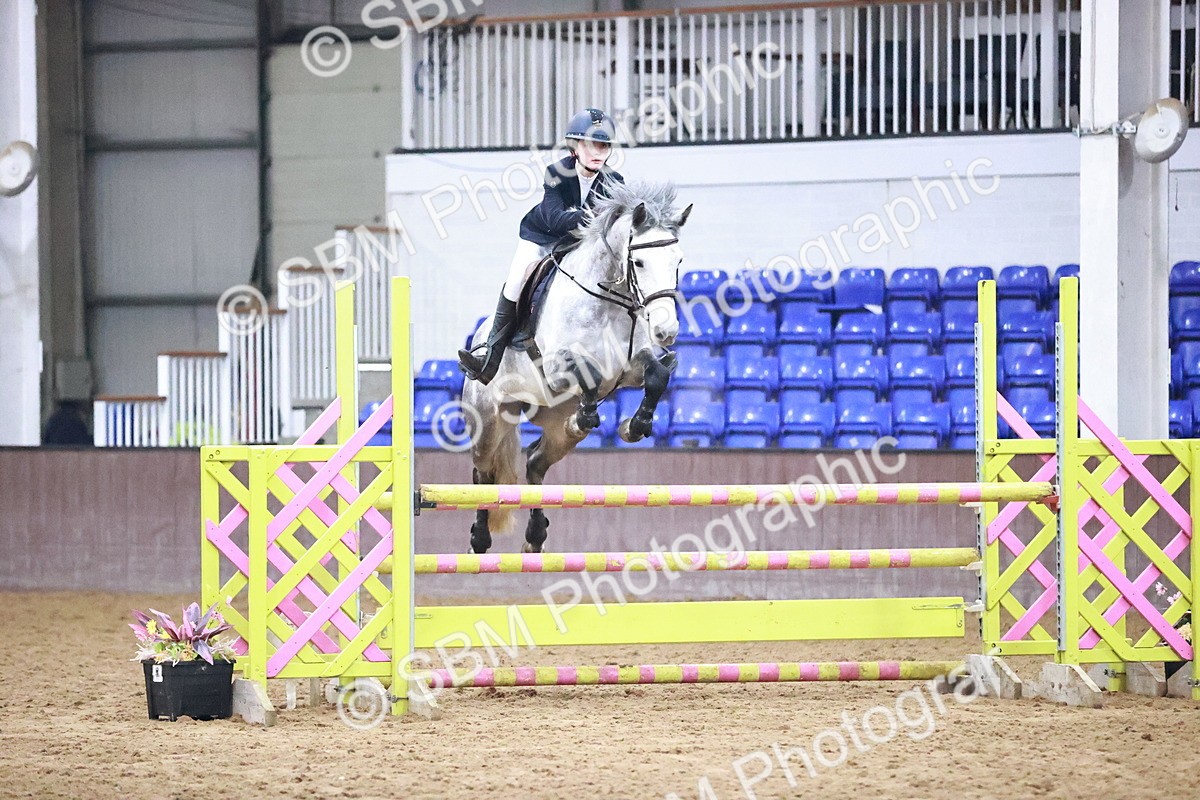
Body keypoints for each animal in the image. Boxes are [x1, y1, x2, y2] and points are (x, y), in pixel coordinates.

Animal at [460, 181, 692, 554]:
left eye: (678, 260)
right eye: (639, 262)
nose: (666, 330)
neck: (609, 301)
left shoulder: (630, 367)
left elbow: (656, 374)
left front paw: (634, 426)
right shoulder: (557, 368)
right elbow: (588, 372)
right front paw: (589, 414)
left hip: (553, 426)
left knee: (535, 462)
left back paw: (535, 537)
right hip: (487, 419)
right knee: (482, 474)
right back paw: (479, 540)